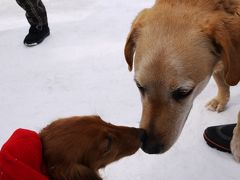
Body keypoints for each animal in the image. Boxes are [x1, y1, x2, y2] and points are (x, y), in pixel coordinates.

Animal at [124, 0, 240, 161]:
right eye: (139, 86)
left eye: (183, 92)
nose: (149, 148)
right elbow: (221, 82)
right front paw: (221, 100)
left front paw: (237, 141)